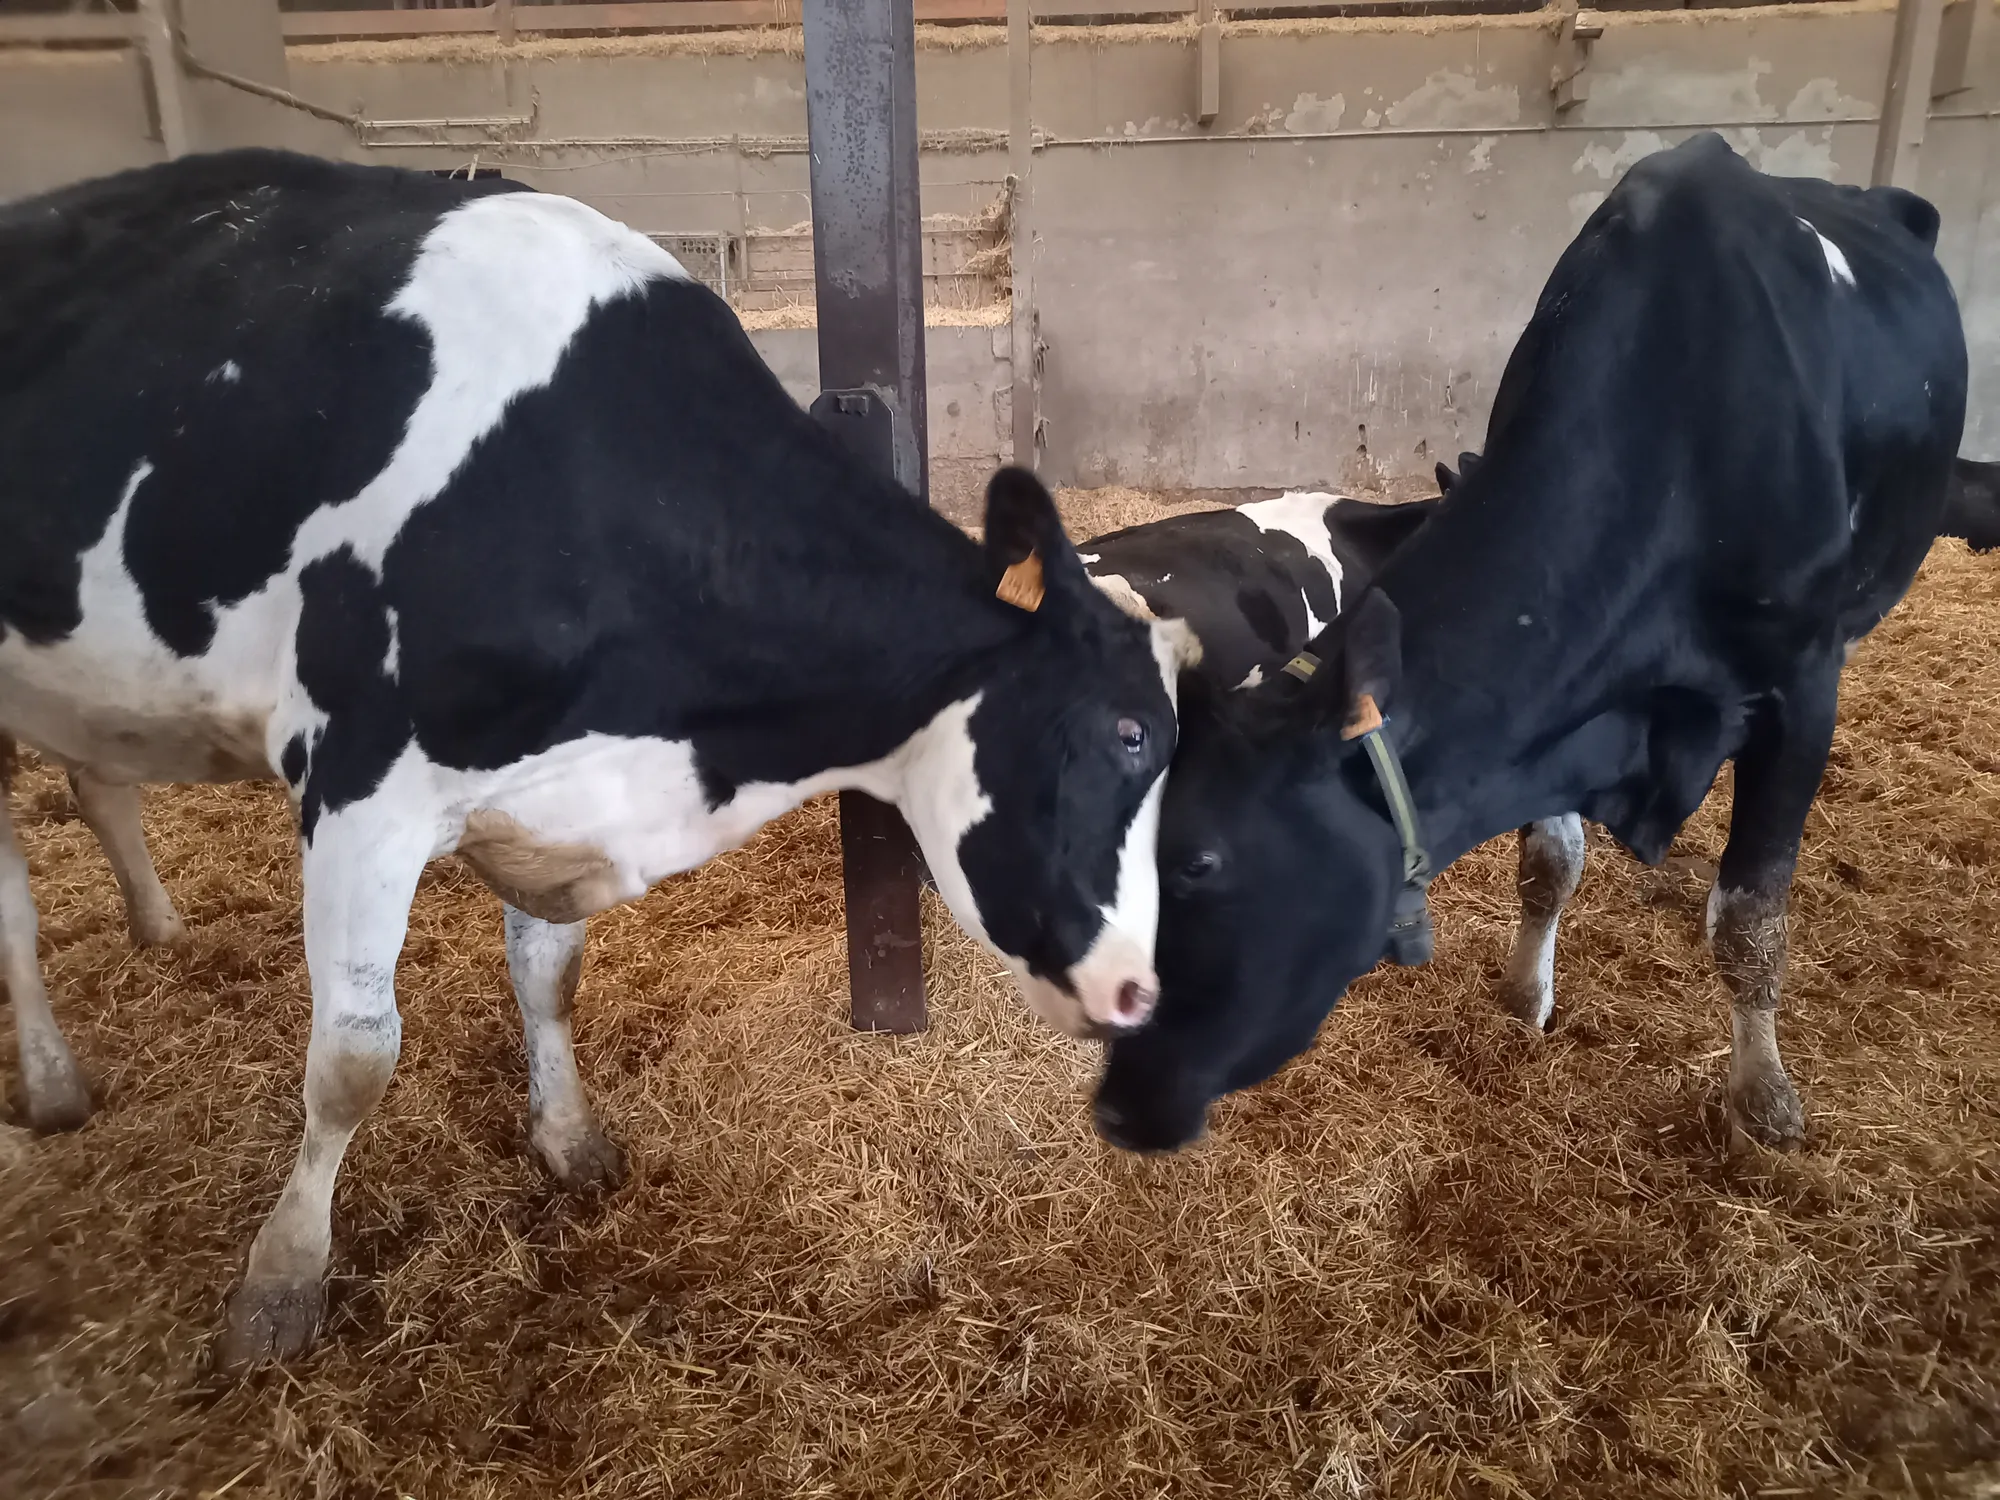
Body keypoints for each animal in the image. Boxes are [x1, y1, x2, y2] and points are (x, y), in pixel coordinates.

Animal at [0, 149, 1195, 1367]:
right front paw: (281, 1280)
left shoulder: (545, 797)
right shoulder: (357, 782)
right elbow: (353, 1059)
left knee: (97, 779)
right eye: (1130, 734)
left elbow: (550, 977)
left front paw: (569, 1140)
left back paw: (156, 927)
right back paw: (52, 1086)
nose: (1141, 990)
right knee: (14, 896)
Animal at [1095, 133, 1967, 1157]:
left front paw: (1764, 1099)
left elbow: (1751, 914)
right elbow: (1550, 859)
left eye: (1197, 865)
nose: (1120, 1103)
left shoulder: (1796, 686)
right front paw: (1527, 996)